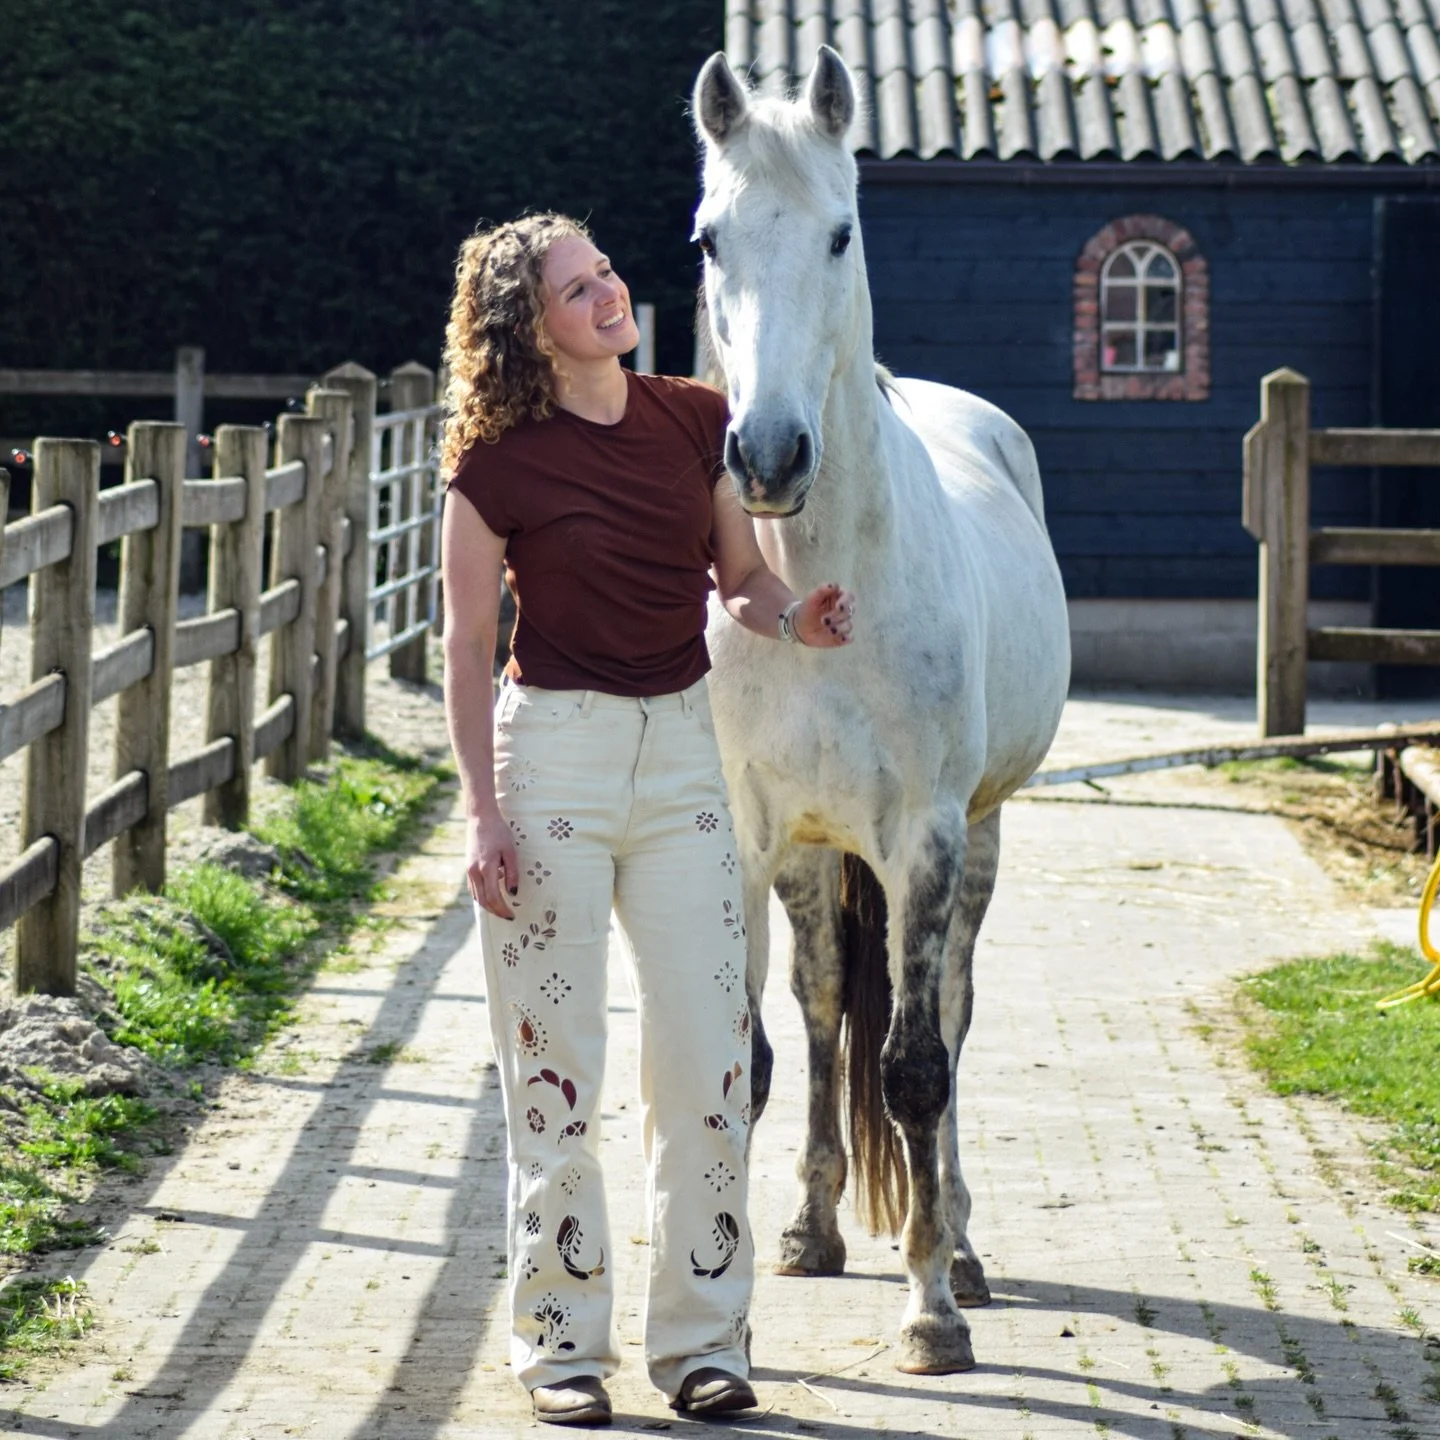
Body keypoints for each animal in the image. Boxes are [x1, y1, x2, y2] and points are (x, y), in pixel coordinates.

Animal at [693, 46, 1071, 1375]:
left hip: (981, 840)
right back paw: (811, 1229)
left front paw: (931, 1315)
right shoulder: (745, 839)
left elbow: (914, 1070)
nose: (767, 456)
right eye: (712, 237)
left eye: (842, 232)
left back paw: (960, 1248)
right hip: (814, 858)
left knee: (946, 1017)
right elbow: (747, 1057)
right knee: (816, 1012)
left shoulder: (926, 840)